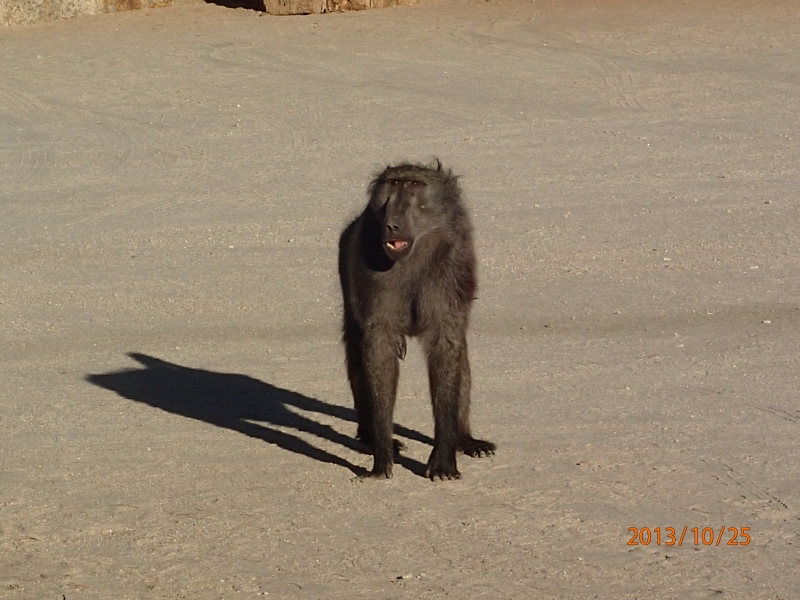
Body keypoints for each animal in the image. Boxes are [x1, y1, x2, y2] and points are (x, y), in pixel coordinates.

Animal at [338, 159, 496, 481]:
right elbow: (378, 348)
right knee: (355, 347)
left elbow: (446, 347)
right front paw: (382, 458)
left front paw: (444, 460)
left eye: (414, 186)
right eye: (394, 185)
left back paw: (465, 438)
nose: (392, 223)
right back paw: (368, 437)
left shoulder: (450, 274)